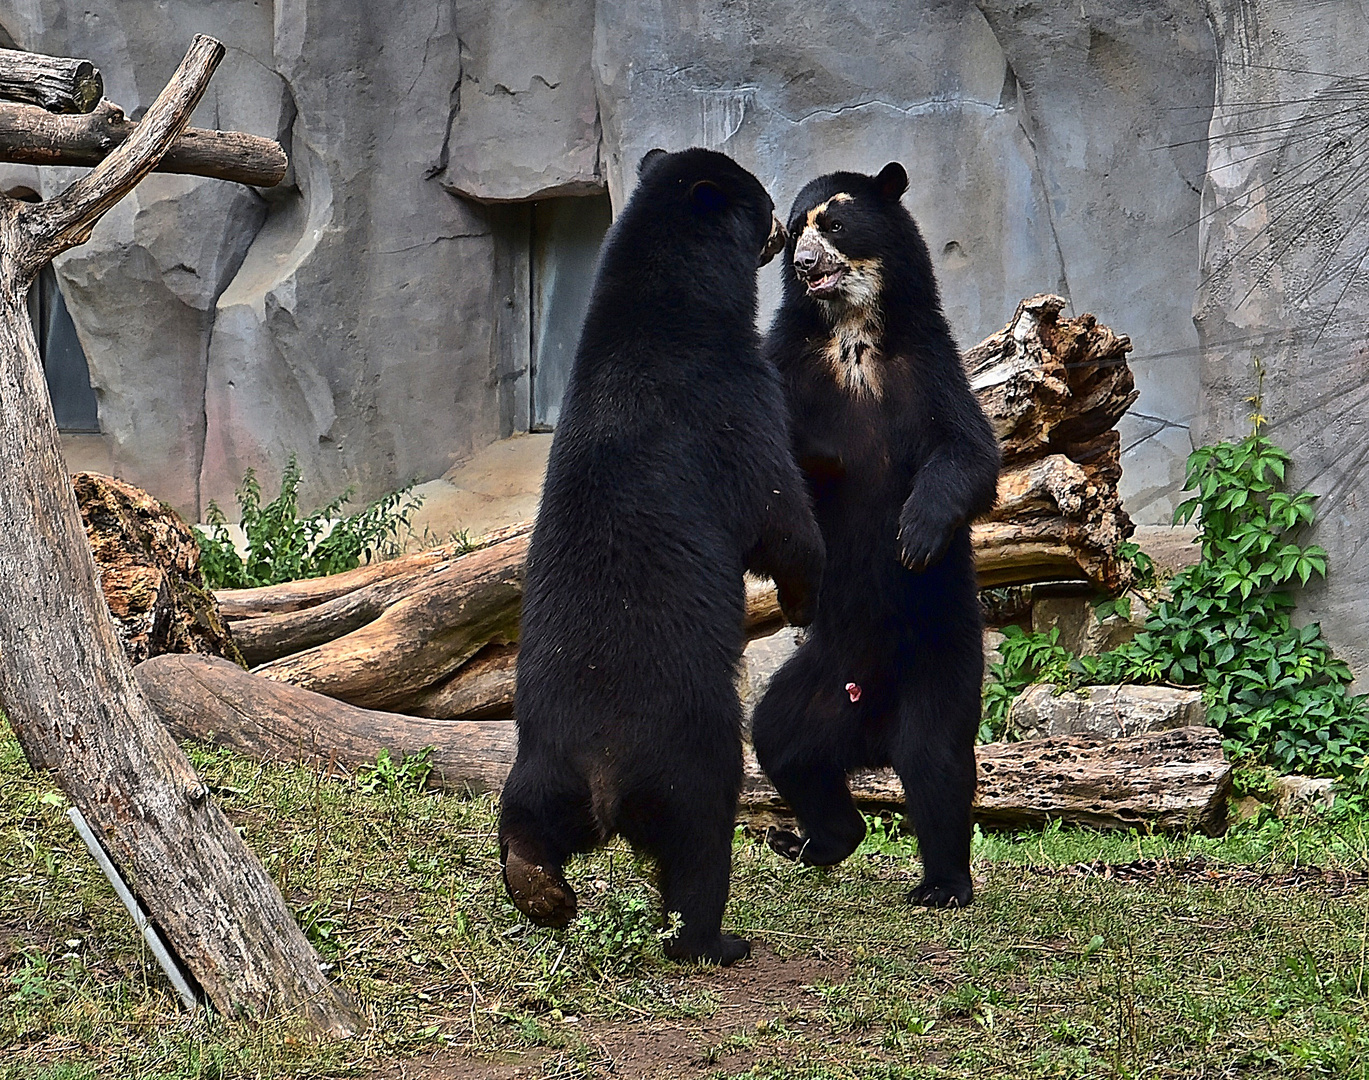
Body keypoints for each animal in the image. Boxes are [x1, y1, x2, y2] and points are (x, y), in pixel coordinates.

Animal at [501, 147, 821, 963]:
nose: (784, 230)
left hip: (539, 755)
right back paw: (713, 937)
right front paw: (805, 594)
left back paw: (539, 888)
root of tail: (598, 770)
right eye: (760, 202)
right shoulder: (724, 398)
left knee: (527, 817)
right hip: (688, 742)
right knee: (700, 837)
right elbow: (776, 507)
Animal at [755, 164, 1002, 903]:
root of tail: (870, 723)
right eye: (794, 231)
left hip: (942, 658)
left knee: (936, 763)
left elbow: (968, 452)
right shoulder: (790, 361)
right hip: (818, 675)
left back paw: (942, 883)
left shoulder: (928, 364)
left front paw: (913, 538)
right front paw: (823, 454)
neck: (852, 333)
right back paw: (815, 839)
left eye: (833, 225)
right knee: (778, 741)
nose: (804, 266)